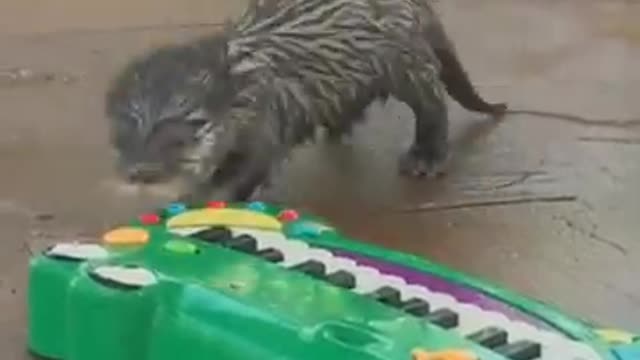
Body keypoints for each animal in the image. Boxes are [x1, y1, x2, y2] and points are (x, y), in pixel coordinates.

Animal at [105, 0, 504, 202]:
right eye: (121, 135)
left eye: (183, 133)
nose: (140, 173)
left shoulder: (266, 119)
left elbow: (251, 168)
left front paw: (202, 202)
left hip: (403, 60)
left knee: (432, 104)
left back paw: (426, 157)